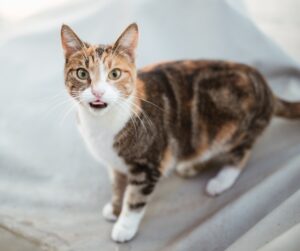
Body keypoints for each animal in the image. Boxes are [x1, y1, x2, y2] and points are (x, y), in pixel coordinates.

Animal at [59, 22, 300, 242]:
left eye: (115, 74)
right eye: (82, 73)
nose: (98, 92)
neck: (102, 126)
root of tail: (267, 88)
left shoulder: (147, 164)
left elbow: (135, 199)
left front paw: (124, 226)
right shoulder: (114, 163)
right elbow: (117, 185)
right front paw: (115, 207)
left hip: (236, 128)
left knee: (242, 152)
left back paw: (221, 180)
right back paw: (191, 165)